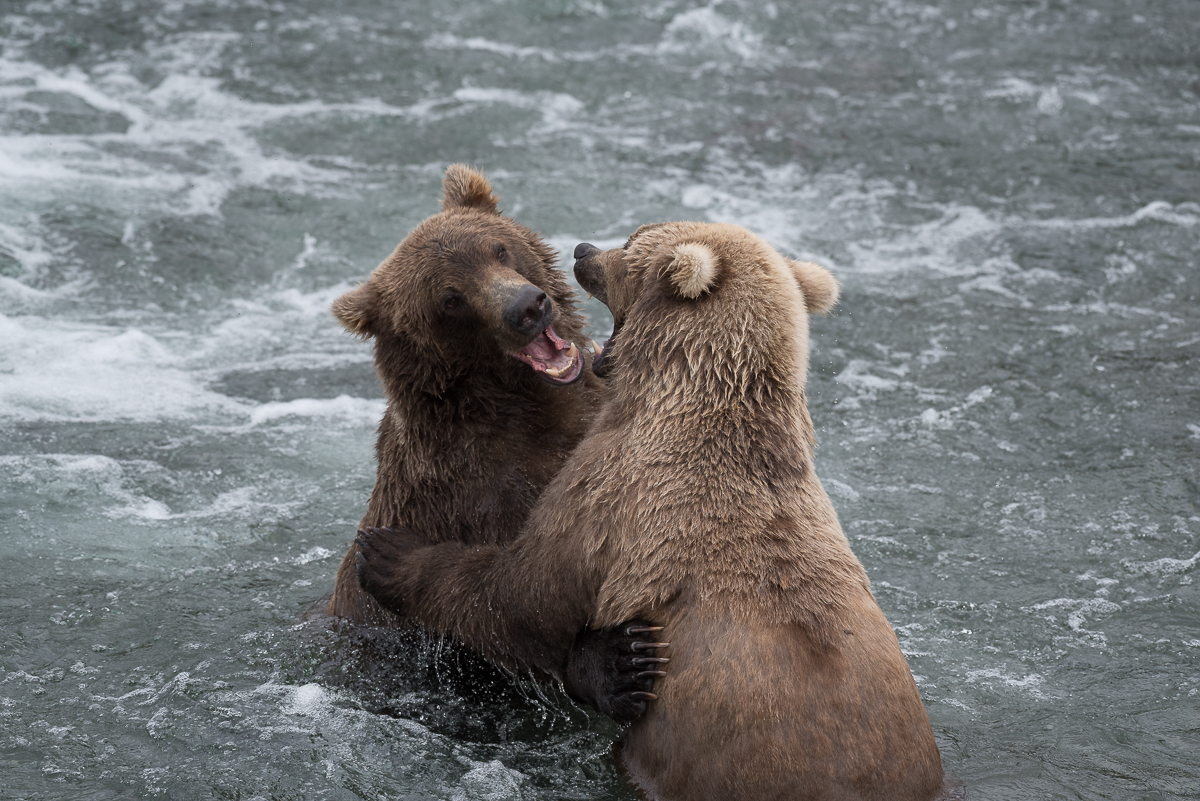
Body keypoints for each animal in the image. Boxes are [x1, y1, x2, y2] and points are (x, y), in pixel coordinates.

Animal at [326, 165, 667, 724]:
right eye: (450, 298)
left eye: (499, 249)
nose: (527, 307)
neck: (525, 409)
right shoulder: (478, 494)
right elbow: (517, 606)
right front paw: (621, 660)